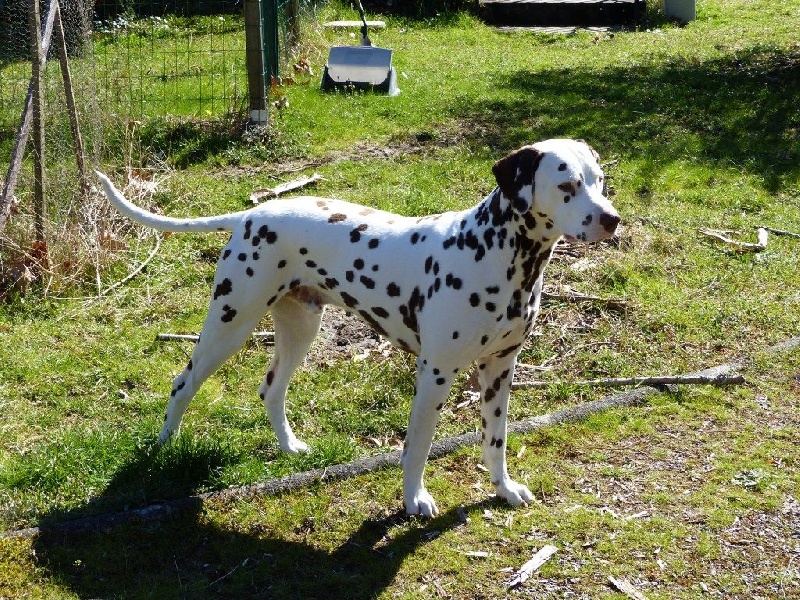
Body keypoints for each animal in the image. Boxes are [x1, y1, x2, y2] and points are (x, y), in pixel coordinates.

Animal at [94, 137, 620, 516]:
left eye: (600, 180)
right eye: (567, 186)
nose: (612, 220)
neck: (494, 253)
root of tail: (252, 212)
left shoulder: (499, 371)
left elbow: (496, 441)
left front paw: (504, 489)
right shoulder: (435, 374)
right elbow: (418, 447)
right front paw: (414, 500)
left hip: (299, 330)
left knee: (270, 389)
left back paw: (289, 446)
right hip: (229, 326)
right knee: (182, 383)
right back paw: (163, 448)